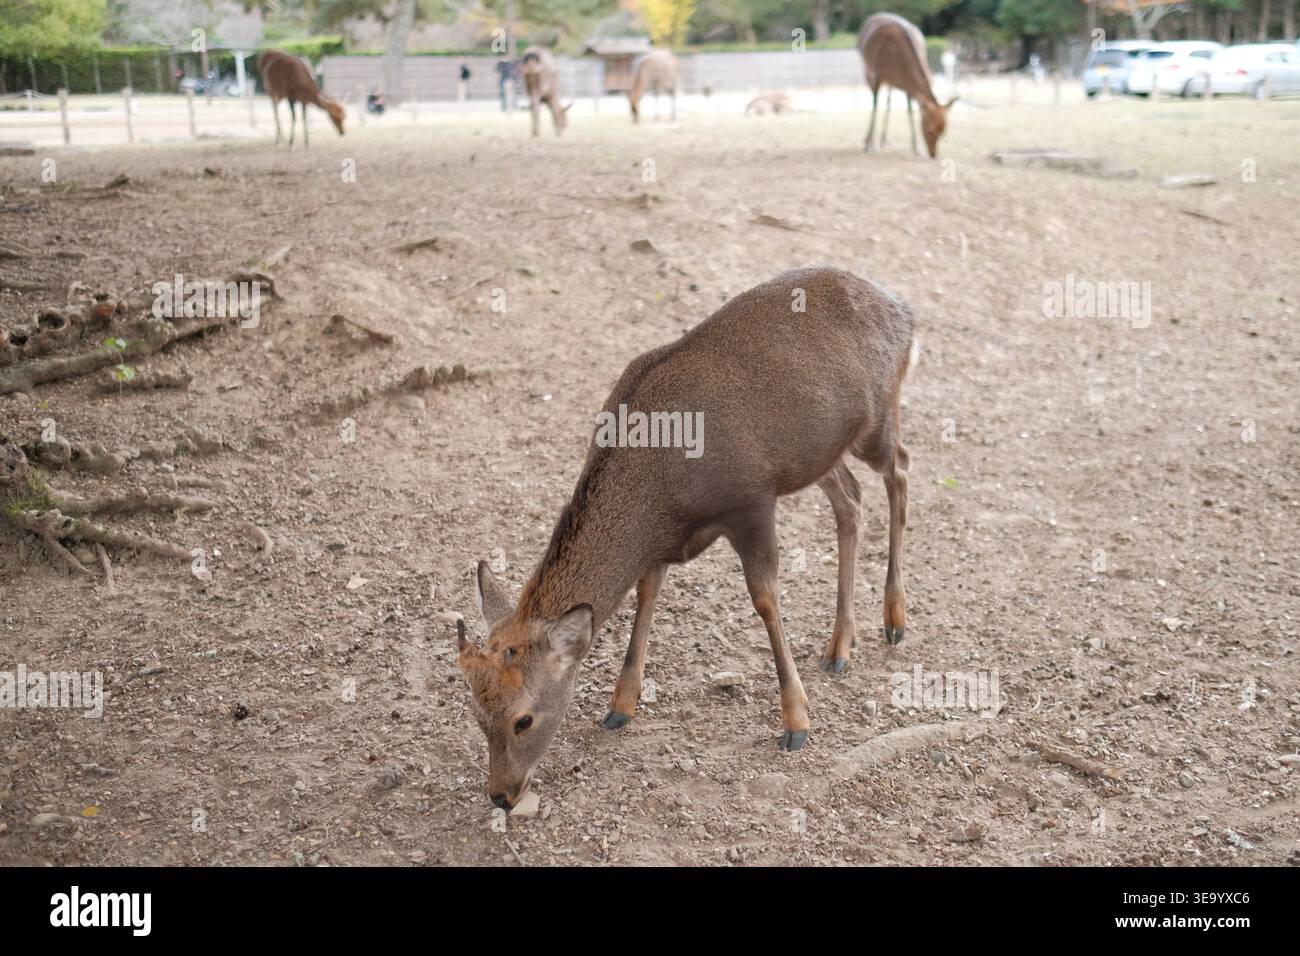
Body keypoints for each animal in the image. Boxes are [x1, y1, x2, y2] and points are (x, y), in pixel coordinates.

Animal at [457, 267, 914, 808]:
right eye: (475, 711)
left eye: (523, 719)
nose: (501, 795)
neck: (663, 498)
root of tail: (905, 310)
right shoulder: (663, 543)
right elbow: (646, 594)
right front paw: (620, 705)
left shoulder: (751, 501)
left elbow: (765, 600)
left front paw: (796, 722)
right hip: (819, 454)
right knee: (850, 499)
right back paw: (840, 646)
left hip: (880, 415)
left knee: (900, 471)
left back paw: (894, 619)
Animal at [858, 13, 957, 158]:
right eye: (929, 131)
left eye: (943, 132)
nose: (933, 155)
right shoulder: (877, 74)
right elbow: (875, 106)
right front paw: (869, 145)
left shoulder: (909, 88)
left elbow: (910, 112)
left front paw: (917, 149)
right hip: (867, 69)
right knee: (876, 102)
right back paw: (871, 141)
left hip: (890, 83)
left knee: (888, 102)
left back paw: (883, 140)